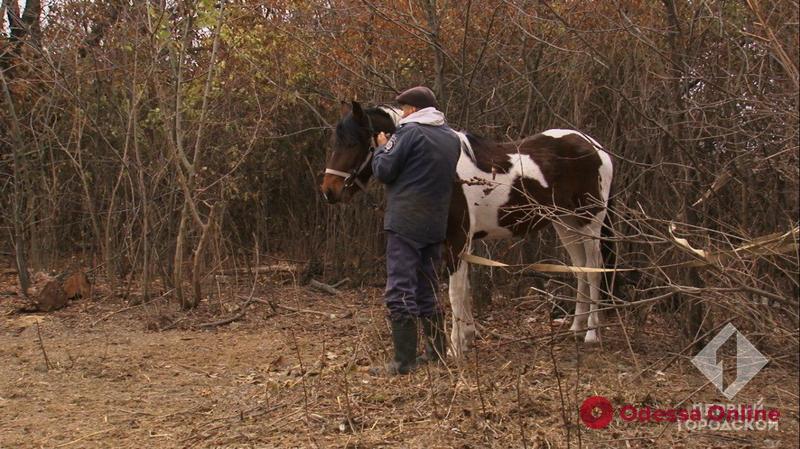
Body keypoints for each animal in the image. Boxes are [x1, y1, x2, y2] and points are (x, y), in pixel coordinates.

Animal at [322, 100, 616, 356]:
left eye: (352, 143)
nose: (329, 191)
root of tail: (595, 147)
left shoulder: (457, 240)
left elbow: (455, 293)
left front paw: (454, 348)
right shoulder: (462, 243)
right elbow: (465, 291)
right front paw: (467, 338)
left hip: (589, 221)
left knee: (595, 269)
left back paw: (592, 333)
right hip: (565, 223)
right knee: (580, 267)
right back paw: (576, 328)